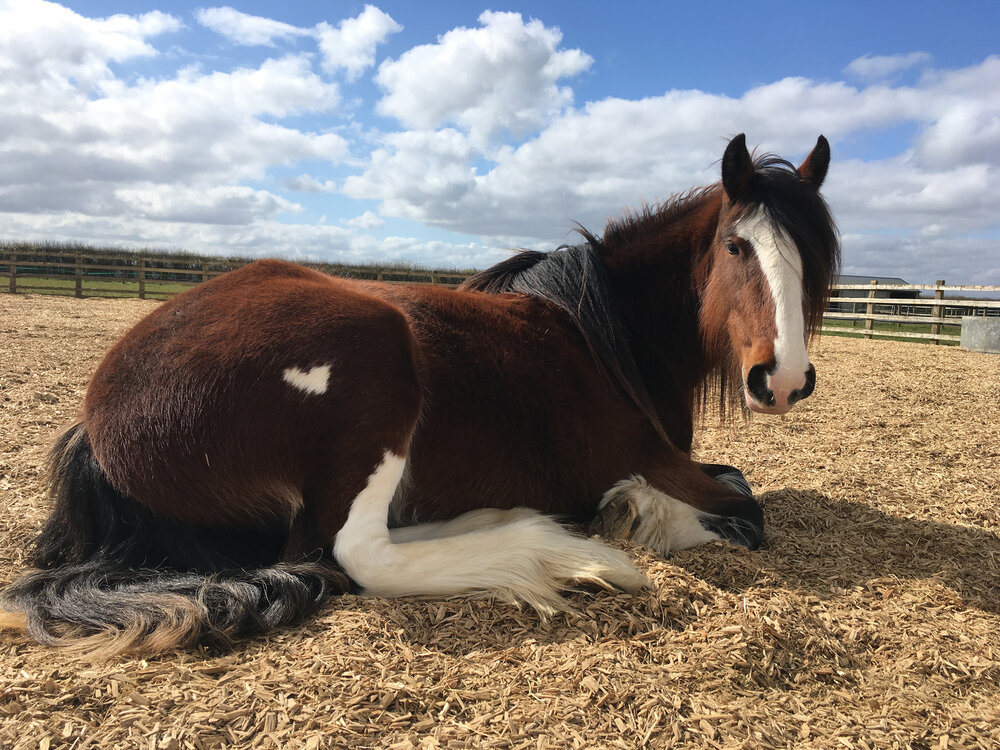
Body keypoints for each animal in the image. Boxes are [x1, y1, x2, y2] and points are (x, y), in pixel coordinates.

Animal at [0, 135, 840, 656]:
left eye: (817, 256)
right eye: (737, 246)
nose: (782, 378)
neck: (607, 337)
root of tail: (94, 426)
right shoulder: (660, 459)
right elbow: (743, 506)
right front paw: (638, 516)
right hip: (376, 354)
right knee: (356, 554)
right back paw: (555, 551)